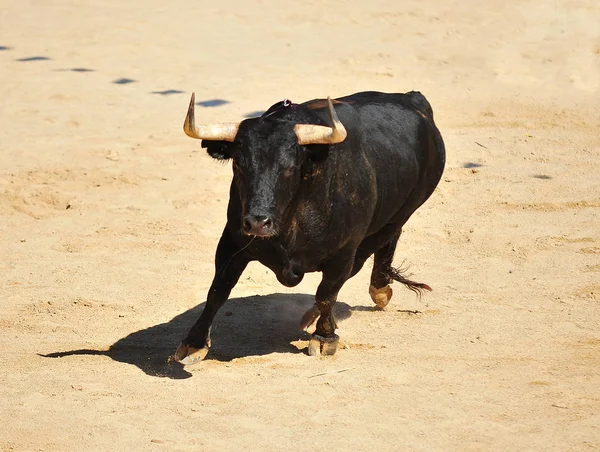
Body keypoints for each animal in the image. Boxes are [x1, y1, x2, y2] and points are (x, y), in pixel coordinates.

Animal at [173, 91, 446, 364]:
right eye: (239, 165)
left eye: (290, 168)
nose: (258, 223)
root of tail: (412, 98)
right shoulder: (232, 241)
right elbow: (218, 289)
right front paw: (194, 343)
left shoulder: (344, 252)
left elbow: (327, 294)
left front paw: (324, 338)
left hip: (398, 216)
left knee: (381, 246)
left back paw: (375, 291)